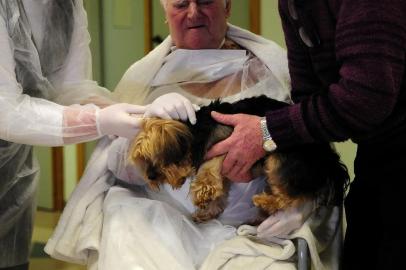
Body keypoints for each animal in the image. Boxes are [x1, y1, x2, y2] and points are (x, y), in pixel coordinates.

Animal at [129, 96, 348, 223]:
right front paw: (209, 212)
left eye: (156, 155)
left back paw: (263, 201)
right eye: (143, 159)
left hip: (281, 160)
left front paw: (201, 193)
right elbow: (220, 193)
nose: (150, 176)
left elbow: (208, 171)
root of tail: (331, 162)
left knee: (289, 197)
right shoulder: (225, 172)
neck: (197, 131)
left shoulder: (227, 146)